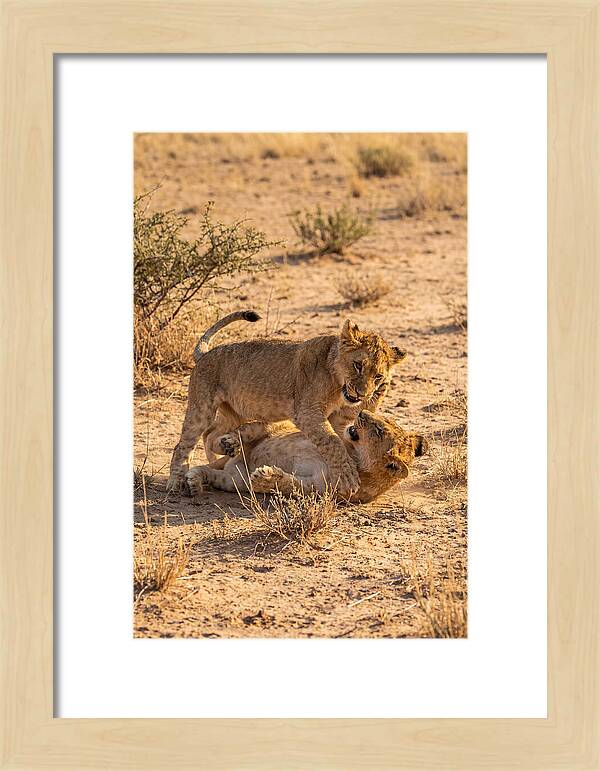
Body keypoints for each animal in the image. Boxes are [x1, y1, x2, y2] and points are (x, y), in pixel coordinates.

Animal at [167, 310, 407, 498]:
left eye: (378, 376)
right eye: (358, 365)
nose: (362, 394)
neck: (337, 384)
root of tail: (206, 354)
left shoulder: (340, 418)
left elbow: (340, 438)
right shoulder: (307, 412)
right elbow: (332, 442)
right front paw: (348, 476)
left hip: (235, 412)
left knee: (211, 434)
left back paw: (225, 451)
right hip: (202, 406)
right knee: (184, 444)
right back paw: (176, 482)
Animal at [185, 410, 427, 504]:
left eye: (378, 430)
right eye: (383, 419)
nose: (361, 412)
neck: (353, 455)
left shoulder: (317, 488)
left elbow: (290, 484)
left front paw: (265, 477)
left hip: (235, 481)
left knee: (211, 473)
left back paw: (194, 482)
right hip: (271, 427)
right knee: (247, 430)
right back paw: (228, 443)